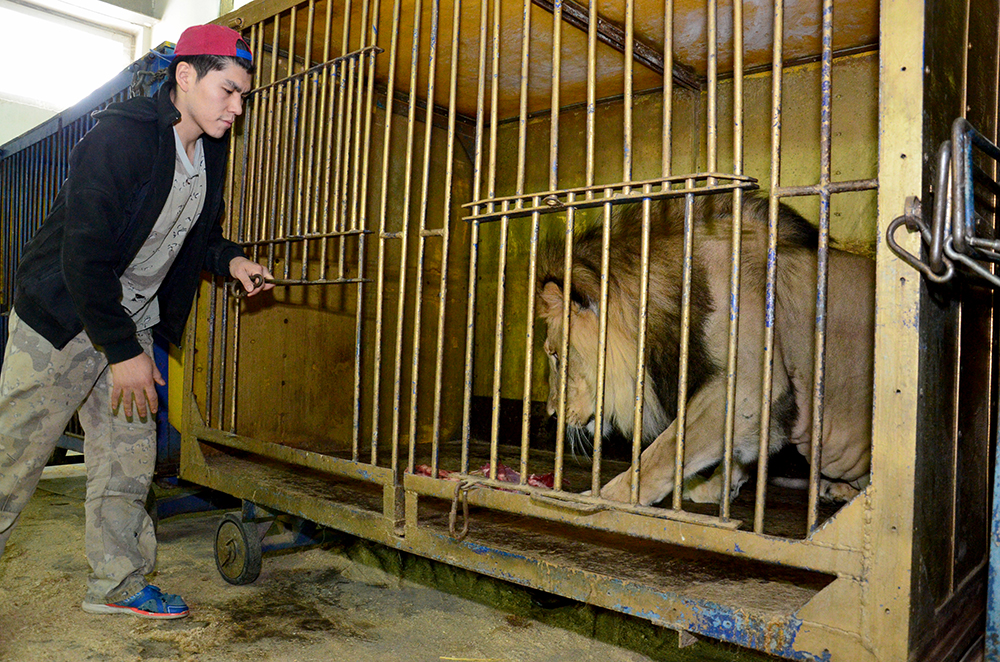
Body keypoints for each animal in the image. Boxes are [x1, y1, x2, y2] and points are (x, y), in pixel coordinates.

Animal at [536, 195, 872, 506]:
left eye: (555, 355)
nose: (552, 414)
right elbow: (736, 454)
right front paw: (713, 490)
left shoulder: (749, 385)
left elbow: (666, 449)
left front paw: (611, 496)